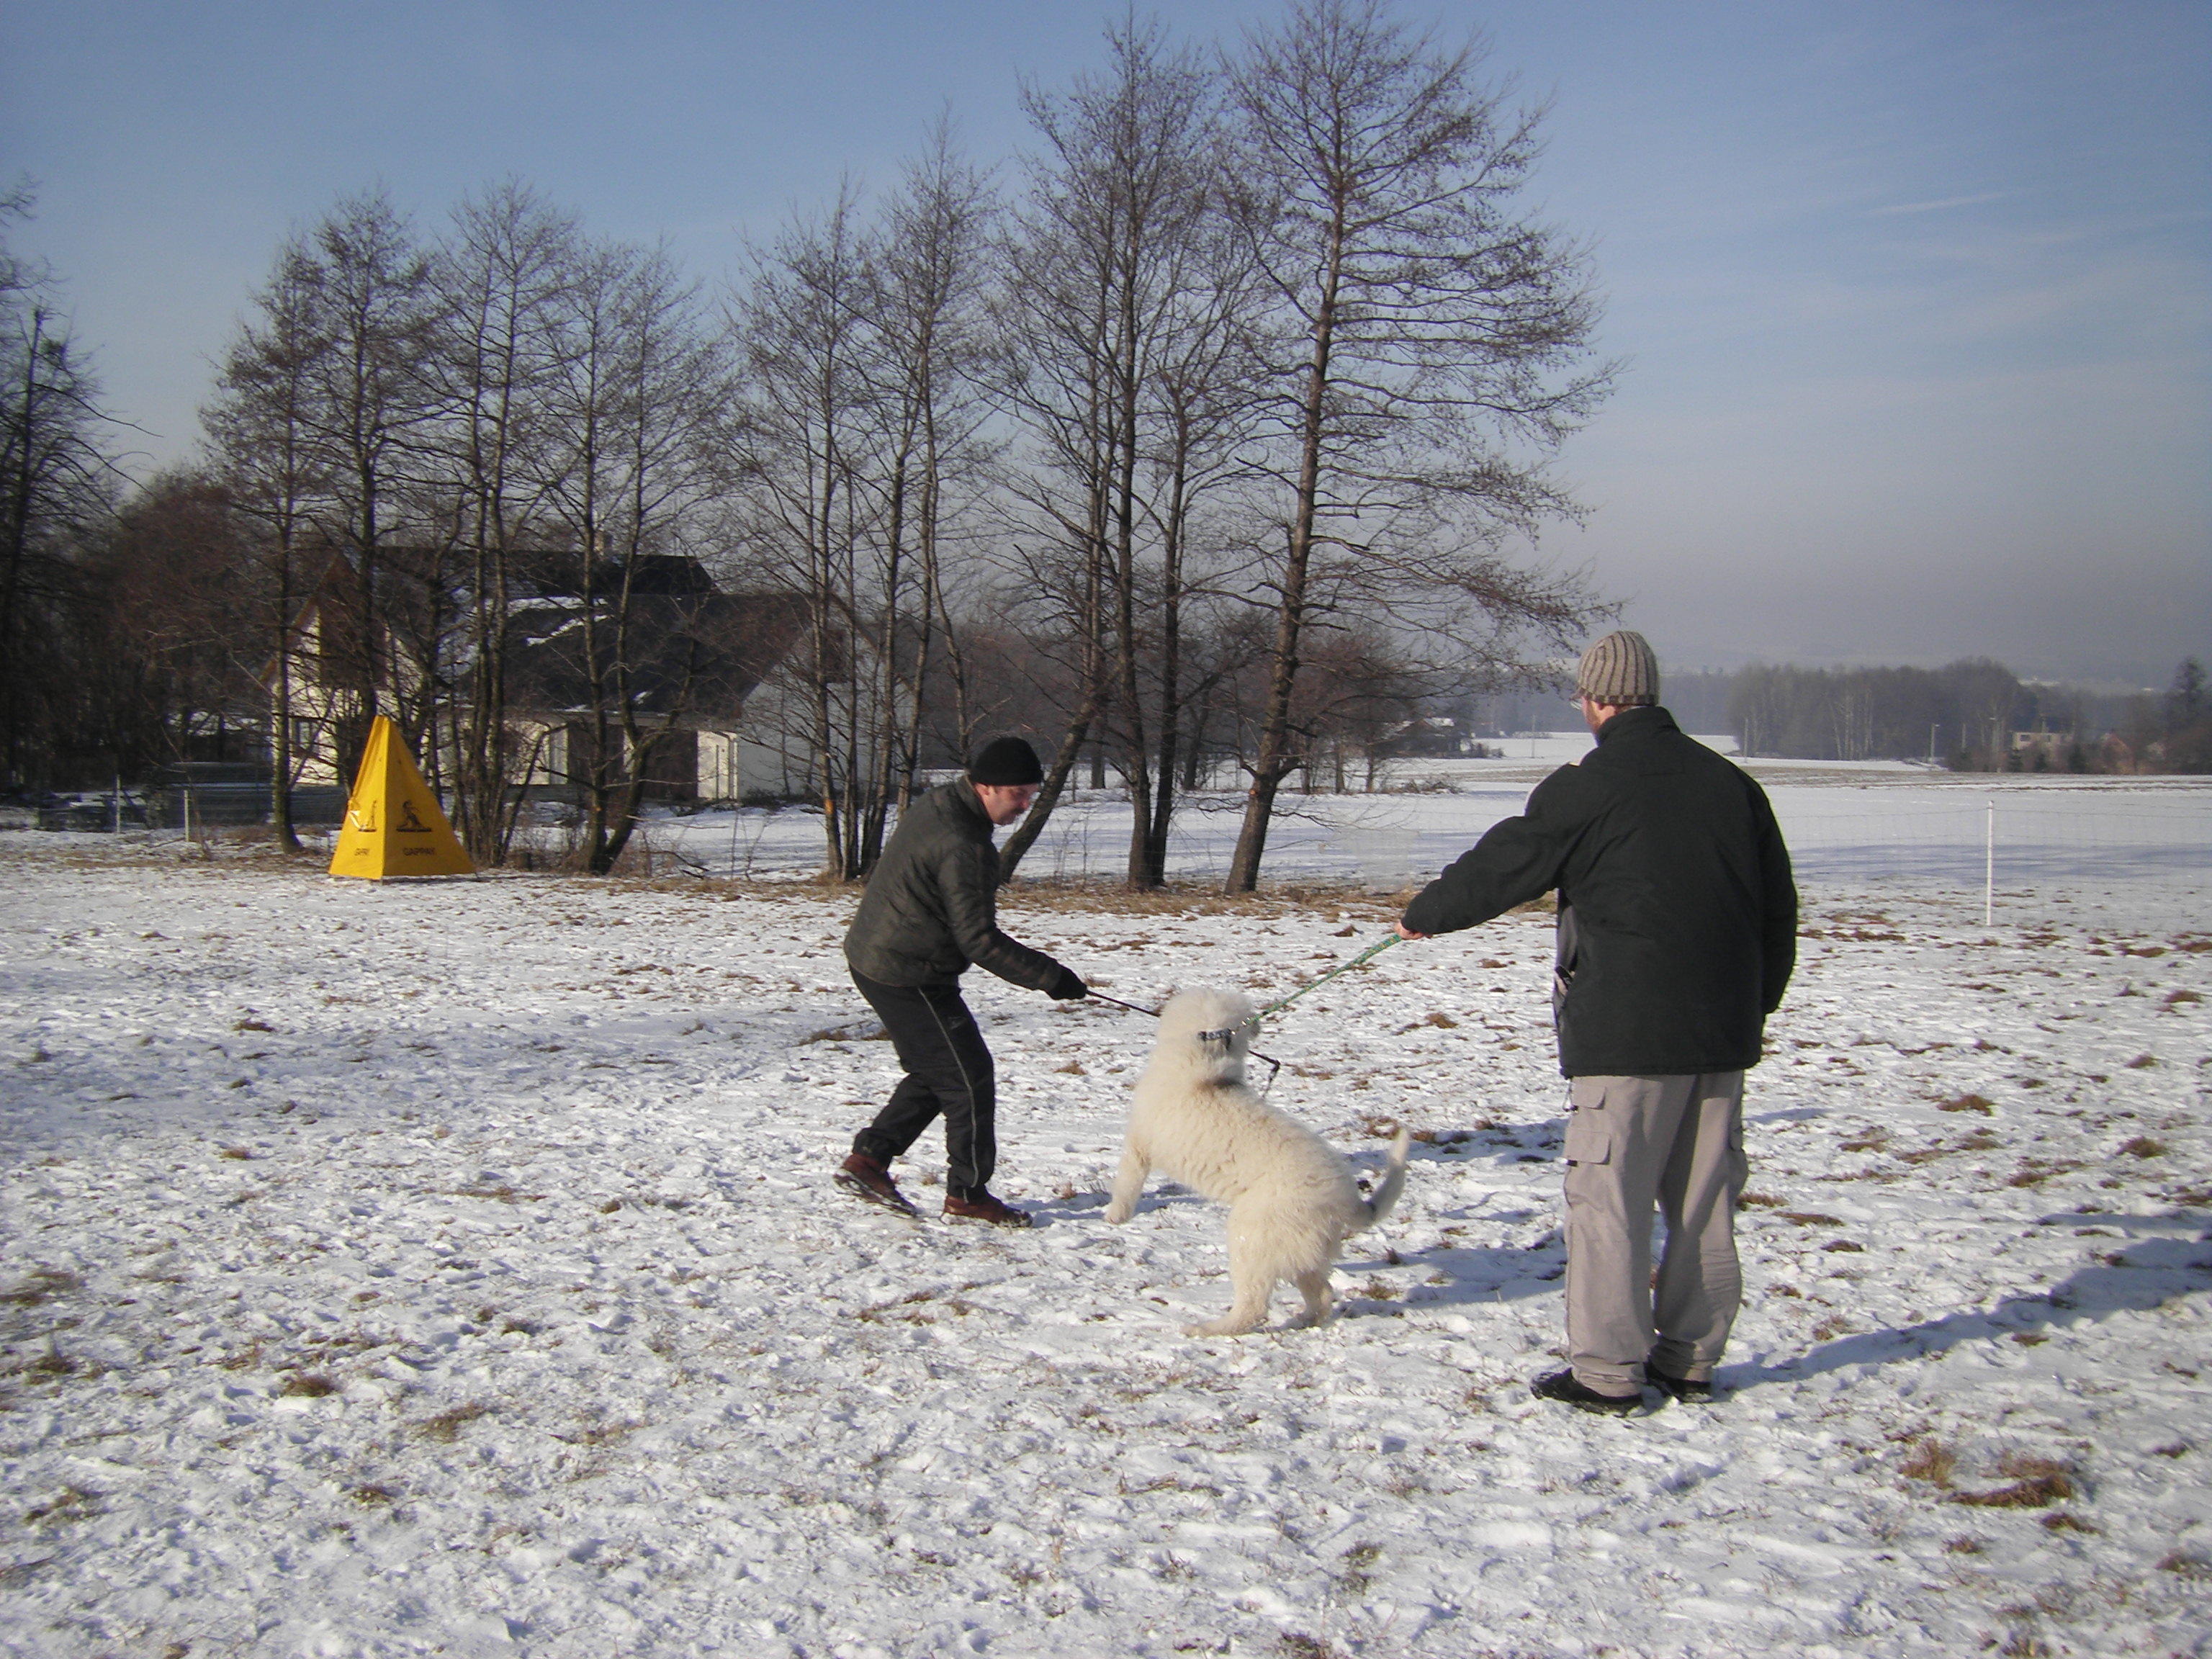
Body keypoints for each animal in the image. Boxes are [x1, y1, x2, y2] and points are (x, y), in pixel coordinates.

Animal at [1101, 986, 1406, 1336]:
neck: (1206, 1050)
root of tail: (1350, 1202)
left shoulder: (1138, 1145)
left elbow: (1127, 1182)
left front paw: (1114, 1216)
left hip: (1254, 1236)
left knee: (1255, 1306)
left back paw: (1208, 1329)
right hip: (1302, 1247)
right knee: (1322, 1293)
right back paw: (1303, 1320)